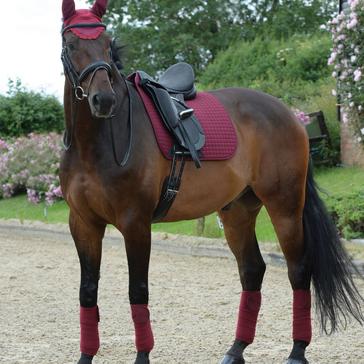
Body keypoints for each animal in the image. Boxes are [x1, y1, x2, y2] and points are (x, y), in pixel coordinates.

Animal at [58, 1, 362, 362]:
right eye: (71, 44)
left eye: (107, 44)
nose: (103, 100)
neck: (98, 143)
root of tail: (289, 115)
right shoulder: (83, 224)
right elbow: (87, 292)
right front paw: (85, 356)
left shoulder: (135, 223)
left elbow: (138, 292)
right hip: (237, 212)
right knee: (252, 271)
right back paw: (236, 348)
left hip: (285, 207)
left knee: (299, 270)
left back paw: (297, 350)